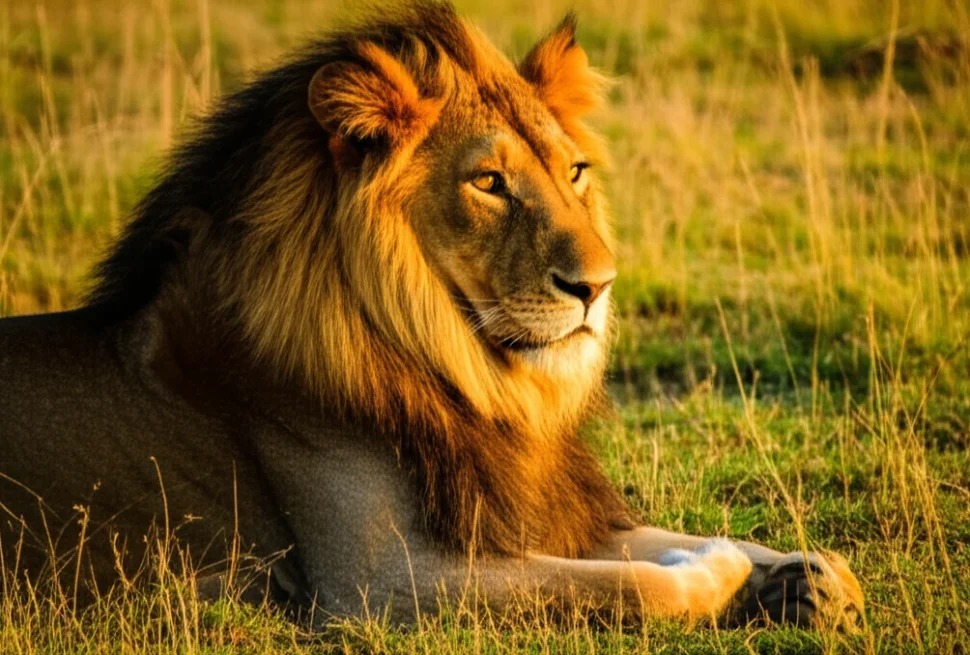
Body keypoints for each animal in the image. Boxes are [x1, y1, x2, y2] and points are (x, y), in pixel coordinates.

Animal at [0, 2, 863, 629]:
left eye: (574, 171)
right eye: (488, 182)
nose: (600, 285)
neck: (461, 368)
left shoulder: (522, 513)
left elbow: (656, 540)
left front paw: (807, 573)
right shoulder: (380, 582)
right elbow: (632, 584)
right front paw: (720, 570)